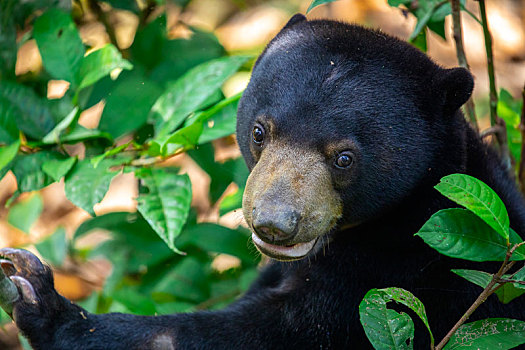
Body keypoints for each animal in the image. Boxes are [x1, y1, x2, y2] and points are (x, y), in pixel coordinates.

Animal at [1, 13, 524, 348]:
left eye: (344, 158)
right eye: (259, 131)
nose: (274, 223)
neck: (401, 221)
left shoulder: (388, 286)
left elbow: (256, 334)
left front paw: (46, 304)